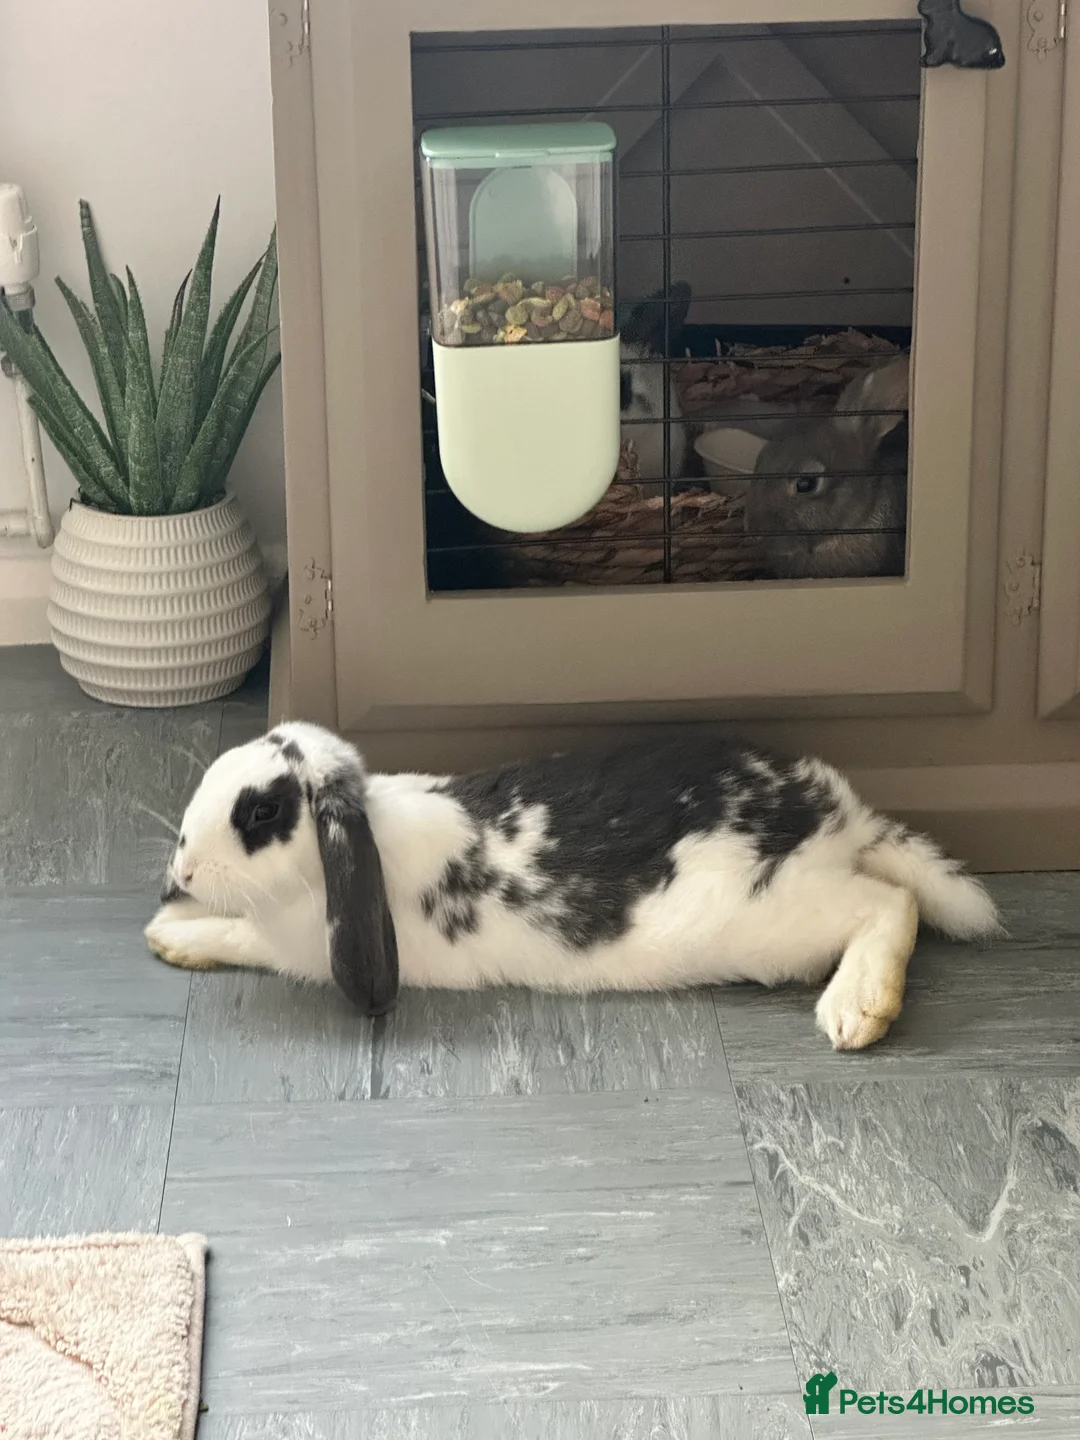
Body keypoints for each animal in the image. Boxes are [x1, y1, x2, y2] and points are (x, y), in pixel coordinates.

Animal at [144, 720, 999, 1051]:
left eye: (260, 813)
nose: (180, 870)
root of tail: (835, 812)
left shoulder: (297, 947)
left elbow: (236, 934)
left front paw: (169, 936)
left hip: (773, 922)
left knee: (890, 903)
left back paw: (857, 1011)